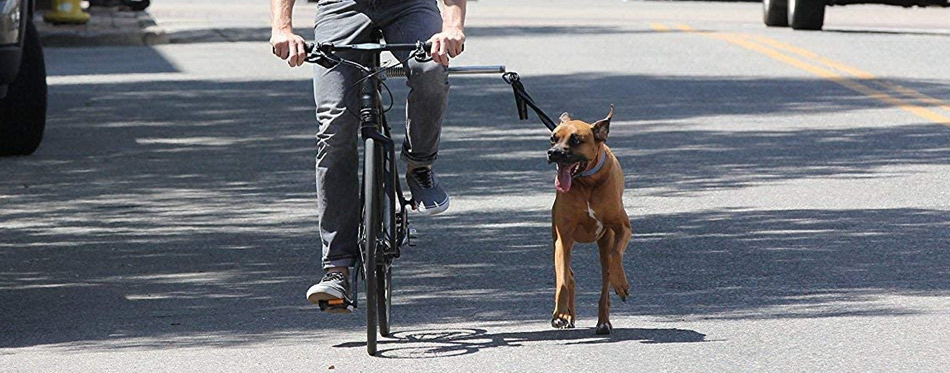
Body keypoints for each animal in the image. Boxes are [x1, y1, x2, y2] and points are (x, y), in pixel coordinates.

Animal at [552, 104, 632, 334]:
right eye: (553, 138)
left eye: (576, 140)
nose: (553, 153)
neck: (587, 182)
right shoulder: (563, 238)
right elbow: (562, 279)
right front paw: (560, 314)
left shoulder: (623, 227)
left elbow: (615, 255)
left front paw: (621, 283)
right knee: (569, 276)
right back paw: (568, 315)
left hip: (605, 243)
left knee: (605, 282)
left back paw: (603, 321)